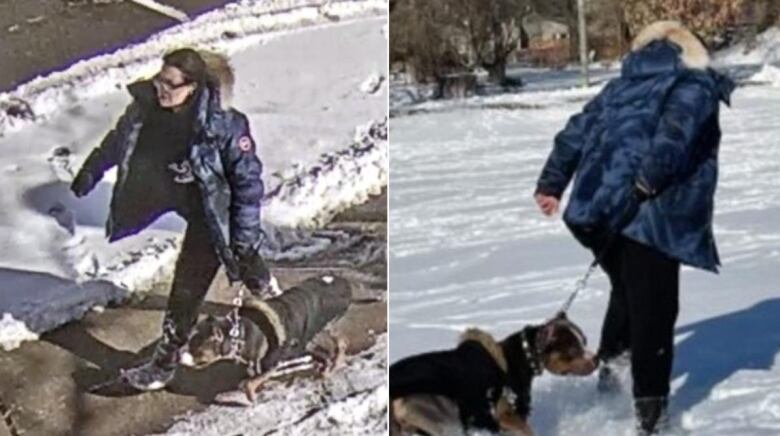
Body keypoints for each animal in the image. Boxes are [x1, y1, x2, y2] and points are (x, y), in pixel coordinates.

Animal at [180, 276, 350, 402]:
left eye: (197, 350)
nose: (179, 357)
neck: (238, 334)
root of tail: (340, 281)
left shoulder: (271, 363)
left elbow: (249, 383)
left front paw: (253, 398)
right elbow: (250, 379)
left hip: (327, 326)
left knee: (340, 344)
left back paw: (334, 364)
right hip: (314, 333)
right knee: (328, 347)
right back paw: (327, 366)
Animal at [390, 314, 596, 436]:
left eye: (585, 341)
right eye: (573, 350)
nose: (597, 359)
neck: (523, 356)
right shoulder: (507, 415)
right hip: (439, 416)